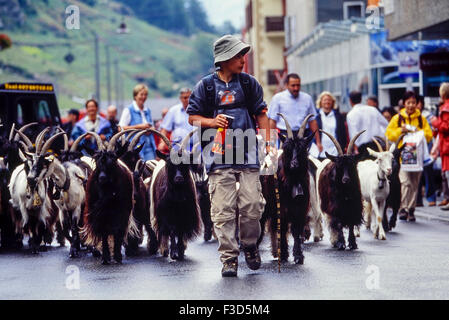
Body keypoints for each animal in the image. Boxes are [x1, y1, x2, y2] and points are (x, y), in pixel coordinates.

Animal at [79, 131, 137, 264]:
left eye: (113, 161)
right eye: (97, 161)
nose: (102, 177)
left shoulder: (123, 212)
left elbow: (118, 232)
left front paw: (117, 256)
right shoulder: (99, 213)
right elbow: (104, 232)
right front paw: (105, 257)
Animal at [150, 129, 200, 260]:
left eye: (185, 163)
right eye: (169, 164)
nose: (178, 178)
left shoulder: (186, 212)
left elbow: (181, 230)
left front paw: (180, 251)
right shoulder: (166, 213)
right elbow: (172, 229)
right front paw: (174, 253)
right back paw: (165, 250)